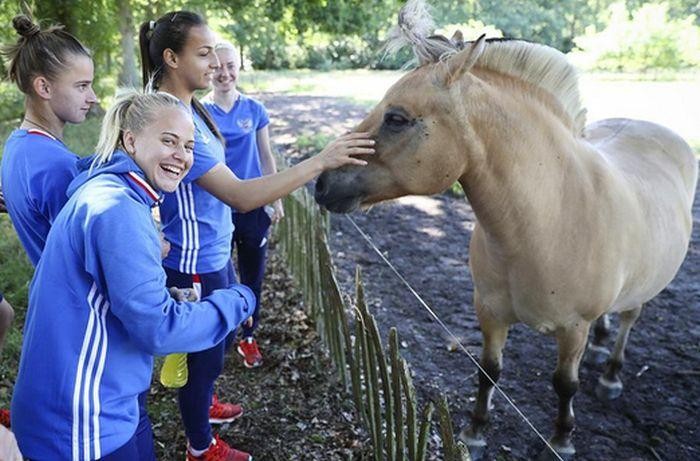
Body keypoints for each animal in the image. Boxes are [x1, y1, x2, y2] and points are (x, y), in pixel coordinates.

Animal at [314, 1, 696, 458]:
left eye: (396, 118)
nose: (321, 183)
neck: (545, 224)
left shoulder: (573, 329)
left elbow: (565, 384)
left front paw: (562, 438)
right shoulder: (490, 313)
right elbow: (489, 370)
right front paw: (475, 431)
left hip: (643, 290)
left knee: (629, 319)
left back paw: (612, 374)